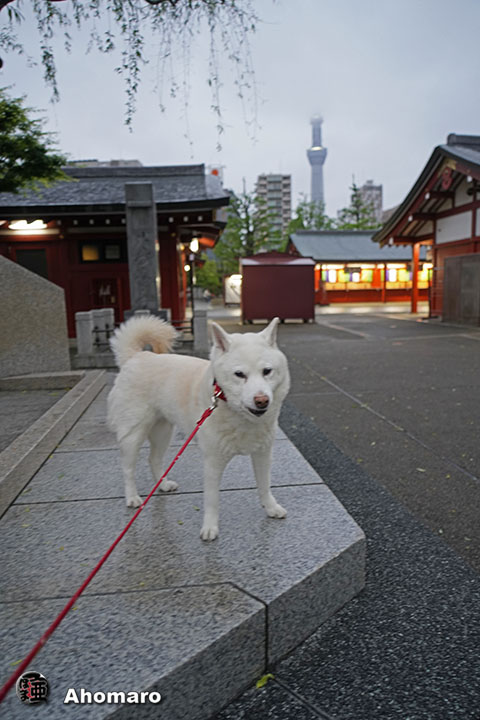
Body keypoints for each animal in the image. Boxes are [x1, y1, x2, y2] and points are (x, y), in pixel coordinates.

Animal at [107, 316, 290, 540]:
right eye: (239, 374)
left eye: (267, 371)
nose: (262, 400)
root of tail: (136, 356)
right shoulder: (212, 462)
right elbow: (212, 500)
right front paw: (210, 527)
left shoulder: (263, 453)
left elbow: (264, 486)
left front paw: (271, 508)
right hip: (133, 434)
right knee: (128, 468)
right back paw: (132, 497)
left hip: (163, 432)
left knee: (154, 459)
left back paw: (163, 484)